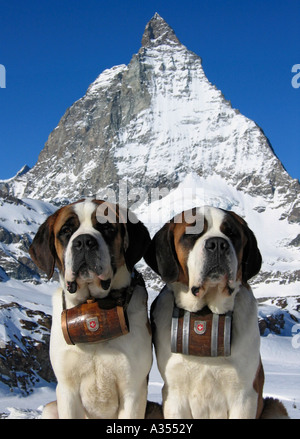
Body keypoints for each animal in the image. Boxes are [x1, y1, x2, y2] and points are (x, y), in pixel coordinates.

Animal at [29, 199, 152, 420]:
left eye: (106, 227)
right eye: (66, 230)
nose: (84, 241)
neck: (92, 303)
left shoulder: (134, 390)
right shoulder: (67, 390)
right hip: (50, 408)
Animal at [145, 206, 288, 420]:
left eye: (232, 233)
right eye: (192, 233)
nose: (218, 244)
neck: (206, 311)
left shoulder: (245, 397)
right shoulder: (174, 396)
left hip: (275, 407)